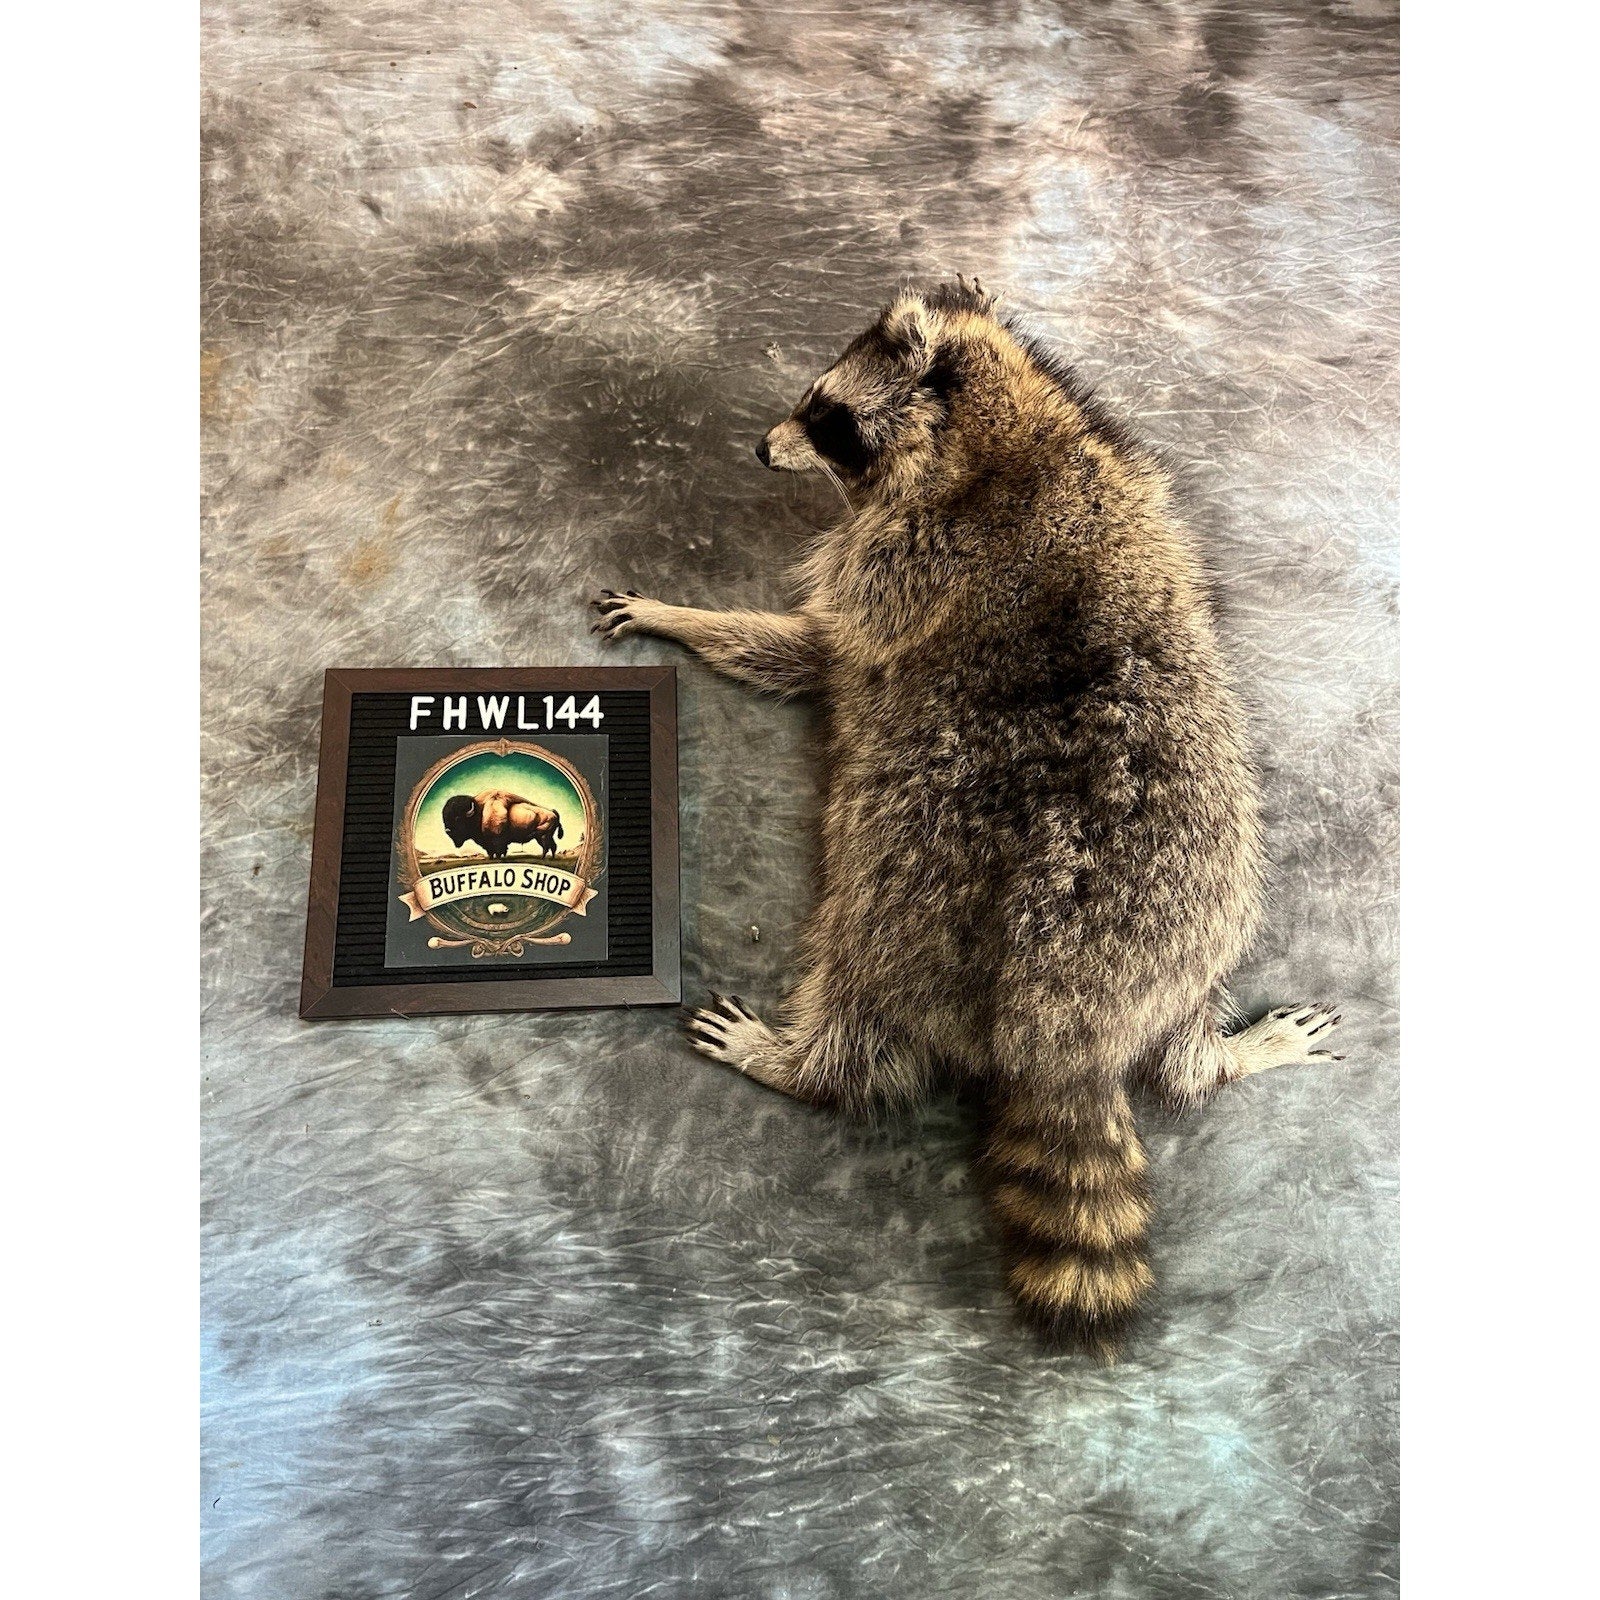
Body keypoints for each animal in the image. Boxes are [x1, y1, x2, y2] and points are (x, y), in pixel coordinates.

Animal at [590, 280, 1343, 1357]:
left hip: (919, 906)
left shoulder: (895, 569)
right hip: (1198, 913)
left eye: (826, 414)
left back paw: (803, 1062)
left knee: (861, 994)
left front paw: (684, 615)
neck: (1006, 435)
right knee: (1185, 1024)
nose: (762, 449)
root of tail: (1065, 1015)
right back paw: (1215, 1055)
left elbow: (813, 647)